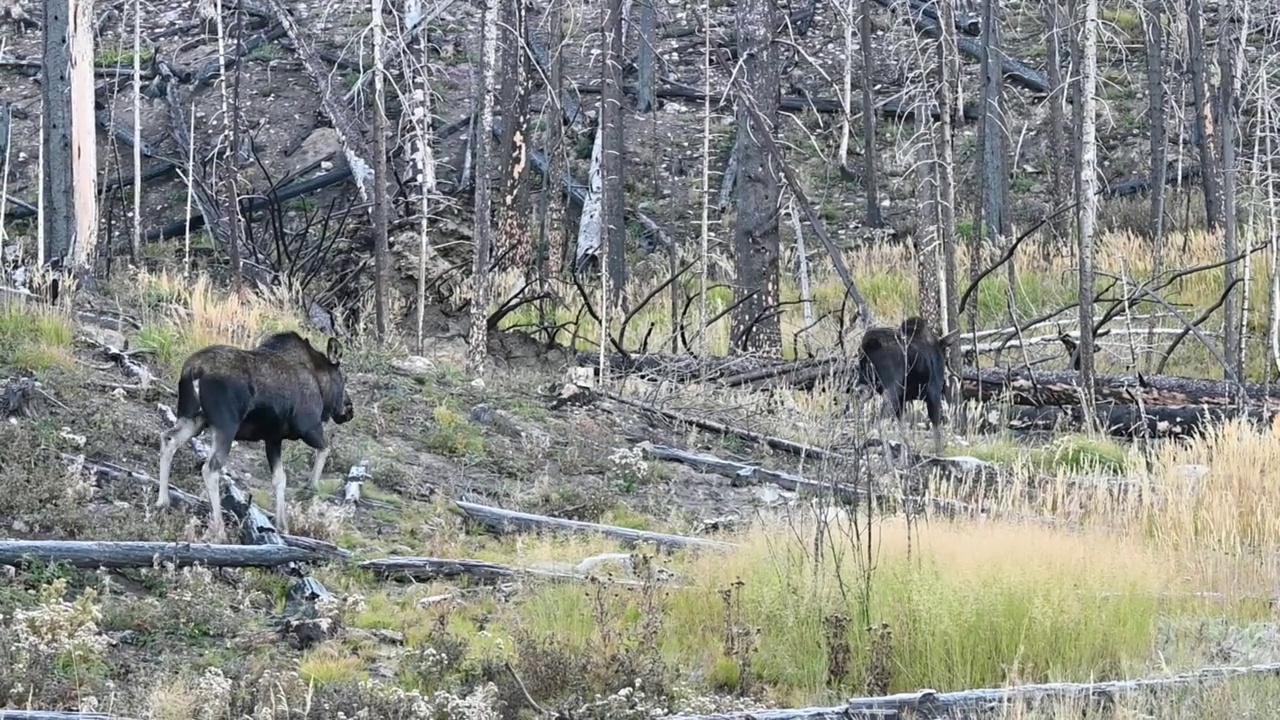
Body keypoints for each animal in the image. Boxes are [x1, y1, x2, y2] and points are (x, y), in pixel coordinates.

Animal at [160, 330, 360, 538]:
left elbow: (279, 479)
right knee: (210, 468)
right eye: (343, 378)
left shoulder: (273, 437)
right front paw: (311, 488)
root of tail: (193, 370)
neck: (321, 386)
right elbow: (325, 449)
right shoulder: (309, 427)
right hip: (226, 425)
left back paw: (163, 501)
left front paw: (282, 525)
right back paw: (219, 529)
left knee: (168, 438)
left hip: (193, 418)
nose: (349, 409)